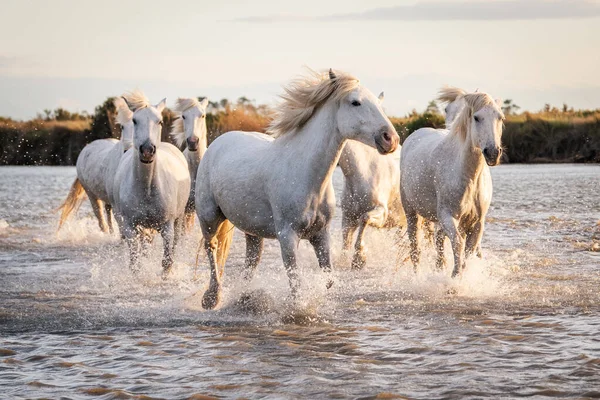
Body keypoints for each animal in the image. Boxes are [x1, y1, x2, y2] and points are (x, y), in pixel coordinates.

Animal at [196, 69, 398, 310]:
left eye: (378, 102)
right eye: (355, 102)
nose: (391, 139)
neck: (305, 175)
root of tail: (217, 143)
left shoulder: (320, 234)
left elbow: (328, 279)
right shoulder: (288, 237)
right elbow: (296, 284)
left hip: (252, 229)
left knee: (251, 260)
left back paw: (245, 297)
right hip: (209, 218)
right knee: (212, 248)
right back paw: (211, 297)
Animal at [400, 90, 504, 278]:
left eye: (500, 117)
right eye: (476, 118)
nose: (493, 153)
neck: (468, 177)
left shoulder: (477, 223)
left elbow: (469, 251)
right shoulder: (448, 216)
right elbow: (458, 244)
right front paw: (455, 277)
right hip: (411, 211)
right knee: (415, 248)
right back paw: (417, 275)